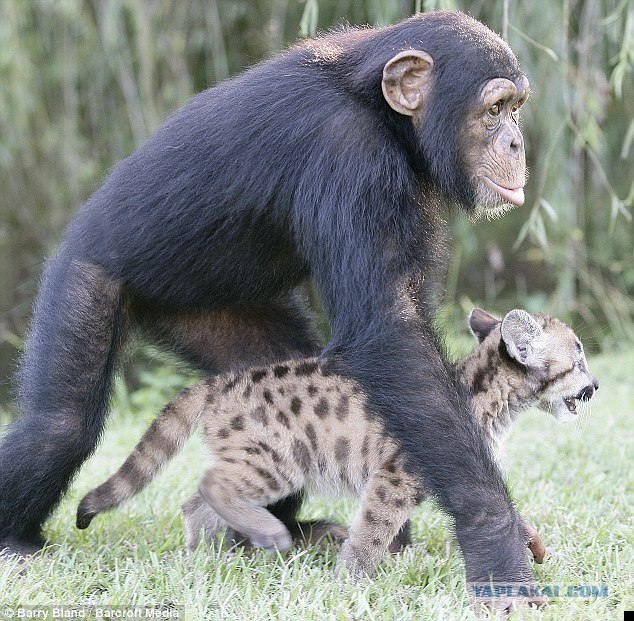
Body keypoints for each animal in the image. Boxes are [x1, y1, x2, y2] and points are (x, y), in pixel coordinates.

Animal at [2, 10, 532, 592]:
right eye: (493, 110)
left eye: (515, 108)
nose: (516, 142)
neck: (381, 112)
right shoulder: (347, 154)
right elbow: (390, 332)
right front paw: (495, 537)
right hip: (84, 277)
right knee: (58, 429)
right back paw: (18, 540)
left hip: (222, 317)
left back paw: (281, 533)